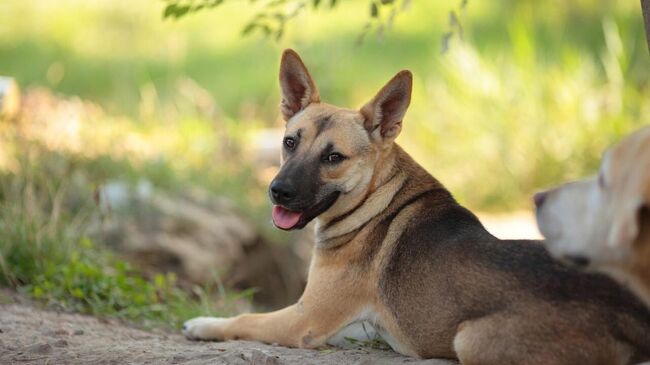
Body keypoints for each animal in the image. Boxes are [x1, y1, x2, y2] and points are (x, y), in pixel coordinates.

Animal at [182, 49, 648, 362]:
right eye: (289, 142)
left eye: (333, 158)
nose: (277, 191)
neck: (376, 200)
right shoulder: (354, 327)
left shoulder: (305, 319)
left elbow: (245, 320)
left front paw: (203, 323)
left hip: (469, 339)